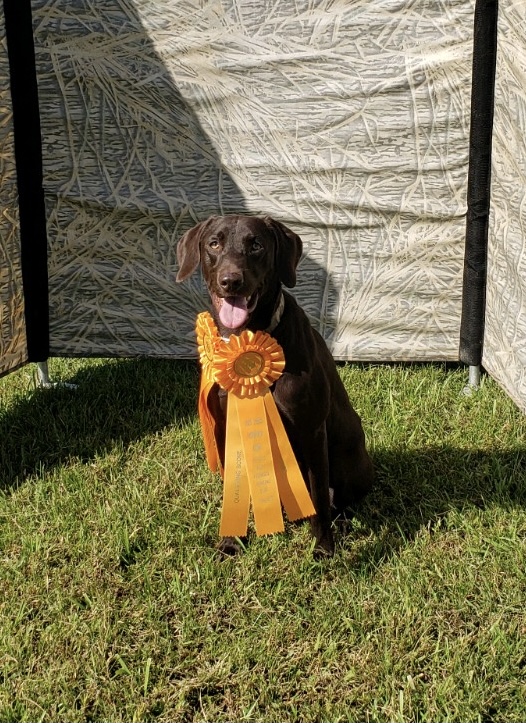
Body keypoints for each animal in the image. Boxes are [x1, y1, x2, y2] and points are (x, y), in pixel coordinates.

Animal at [178, 215, 376, 560]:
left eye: (256, 244)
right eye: (214, 243)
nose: (231, 281)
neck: (247, 343)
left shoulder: (311, 430)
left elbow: (319, 498)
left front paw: (323, 548)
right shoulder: (226, 427)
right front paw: (231, 541)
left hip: (347, 456)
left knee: (339, 500)